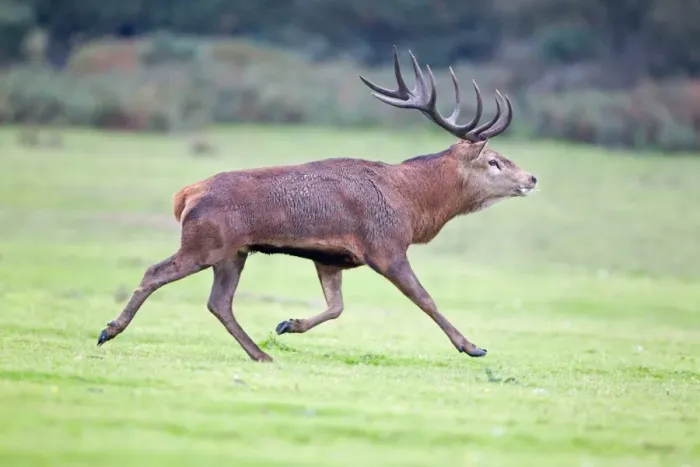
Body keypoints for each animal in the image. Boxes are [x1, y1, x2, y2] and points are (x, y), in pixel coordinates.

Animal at [96, 46, 538, 362]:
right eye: (494, 161)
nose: (532, 178)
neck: (414, 206)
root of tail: (185, 194)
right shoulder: (386, 246)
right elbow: (425, 298)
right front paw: (472, 346)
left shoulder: (332, 257)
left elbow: (336, 306)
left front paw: (287, 324)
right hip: (205, 243)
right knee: (155, 272)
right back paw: (109, 329)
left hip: (233, 251)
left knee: (219, 301)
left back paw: (261, 354)